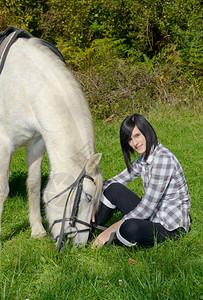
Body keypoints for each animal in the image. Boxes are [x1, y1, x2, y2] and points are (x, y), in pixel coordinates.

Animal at [0, 35, 102, 248]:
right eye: (88, 197)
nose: (81, 244)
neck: (24, 85)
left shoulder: (37, 144)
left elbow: (34, 185)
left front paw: (37, 230)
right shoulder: (4, 145)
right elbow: (2, 190)